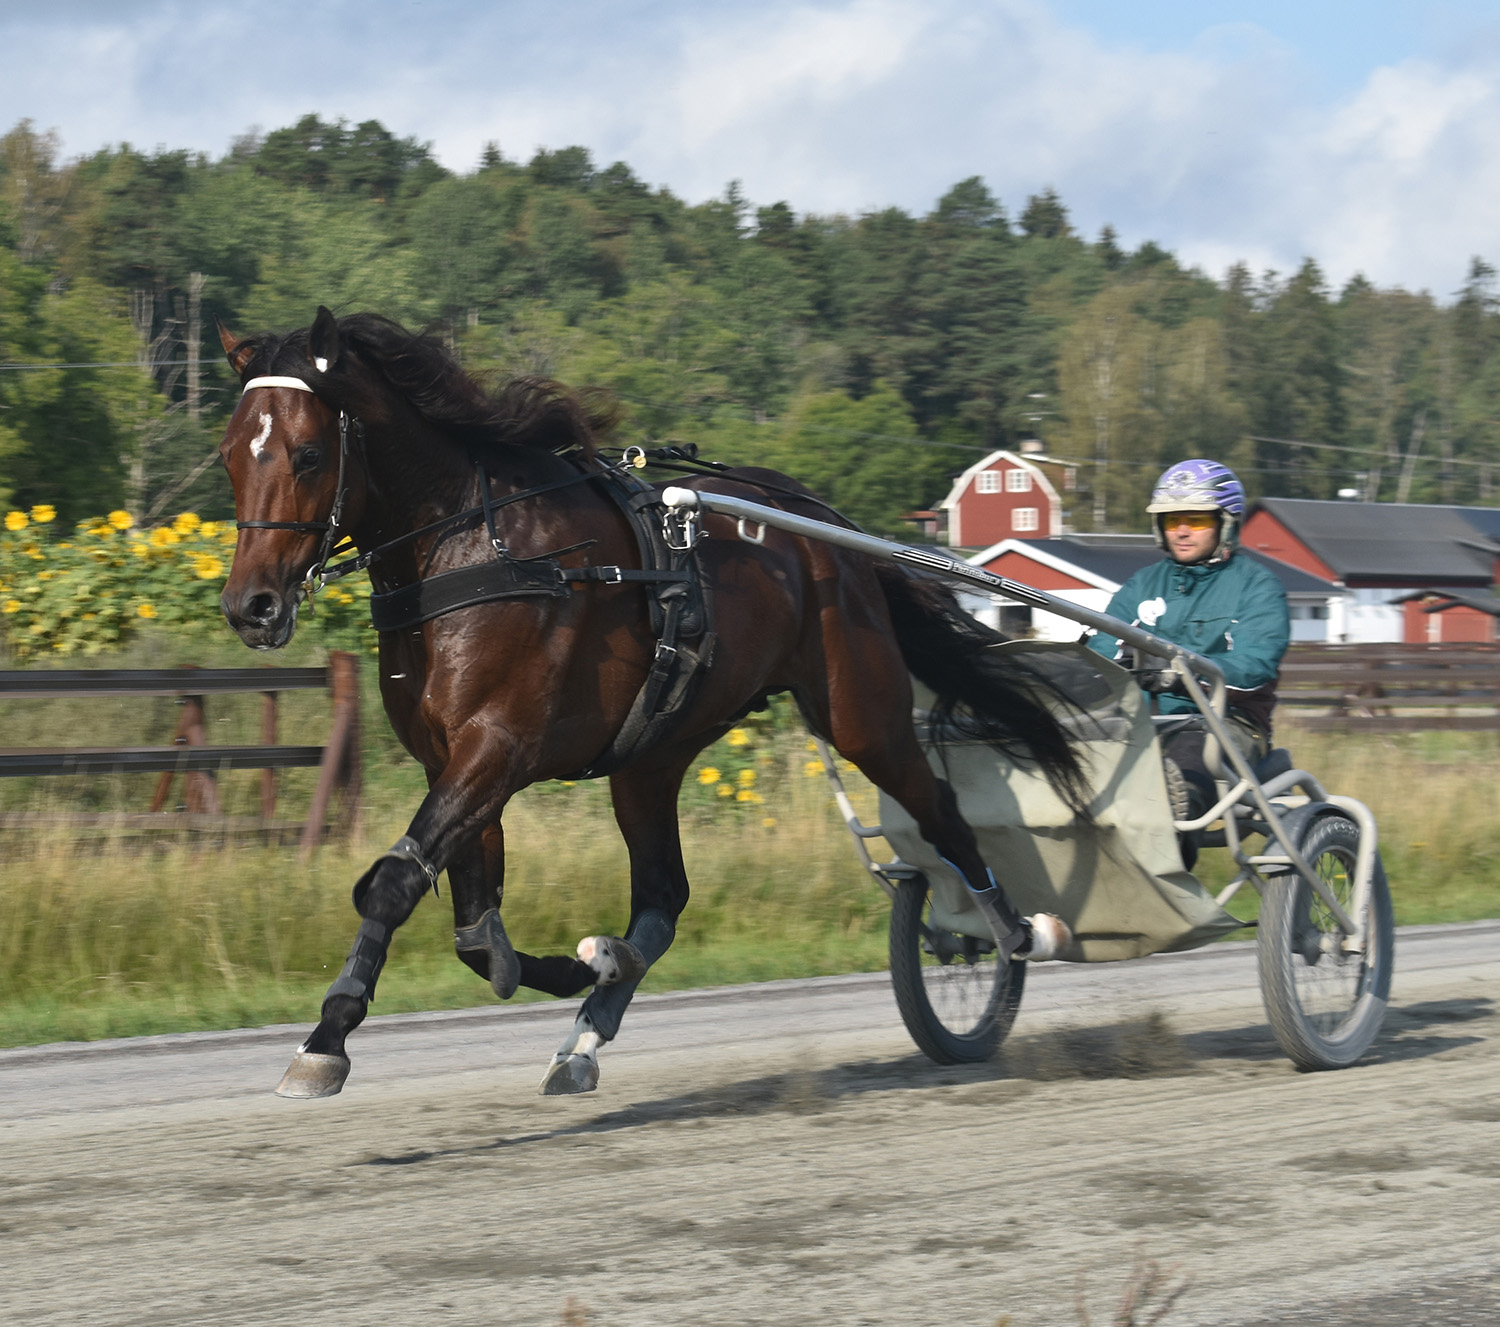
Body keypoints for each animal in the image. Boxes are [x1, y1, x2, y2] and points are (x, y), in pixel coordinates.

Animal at [217, 307, 1086, 1097]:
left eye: (307, 453)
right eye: (228, 456)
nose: (250, 606)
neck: (473, 549)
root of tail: (830, 532)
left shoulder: (499, 746)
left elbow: (394, 885)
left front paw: (326, 1038)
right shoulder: (454, 761)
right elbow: (477, 934)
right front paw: (578, 966)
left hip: (860, 708)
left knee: (941, 810)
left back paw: (1007, 934)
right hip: (652, 755)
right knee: (663, 896)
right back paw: (590, 1024)